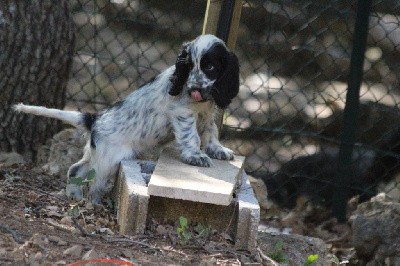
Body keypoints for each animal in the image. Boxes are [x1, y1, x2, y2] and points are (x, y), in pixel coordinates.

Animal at [14, 33, 241, 204]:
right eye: (189, 66)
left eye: (210, 67)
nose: (193, 88)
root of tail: (95, 119)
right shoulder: (182, 112)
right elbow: (191, 136)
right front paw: (196, 156)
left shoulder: (207, 113)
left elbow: (211, 131)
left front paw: (218, 150)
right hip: (108, 161)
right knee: (94, 184)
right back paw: (93, 203)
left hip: (96, 154)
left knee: (75, 170)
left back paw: (74, 195)